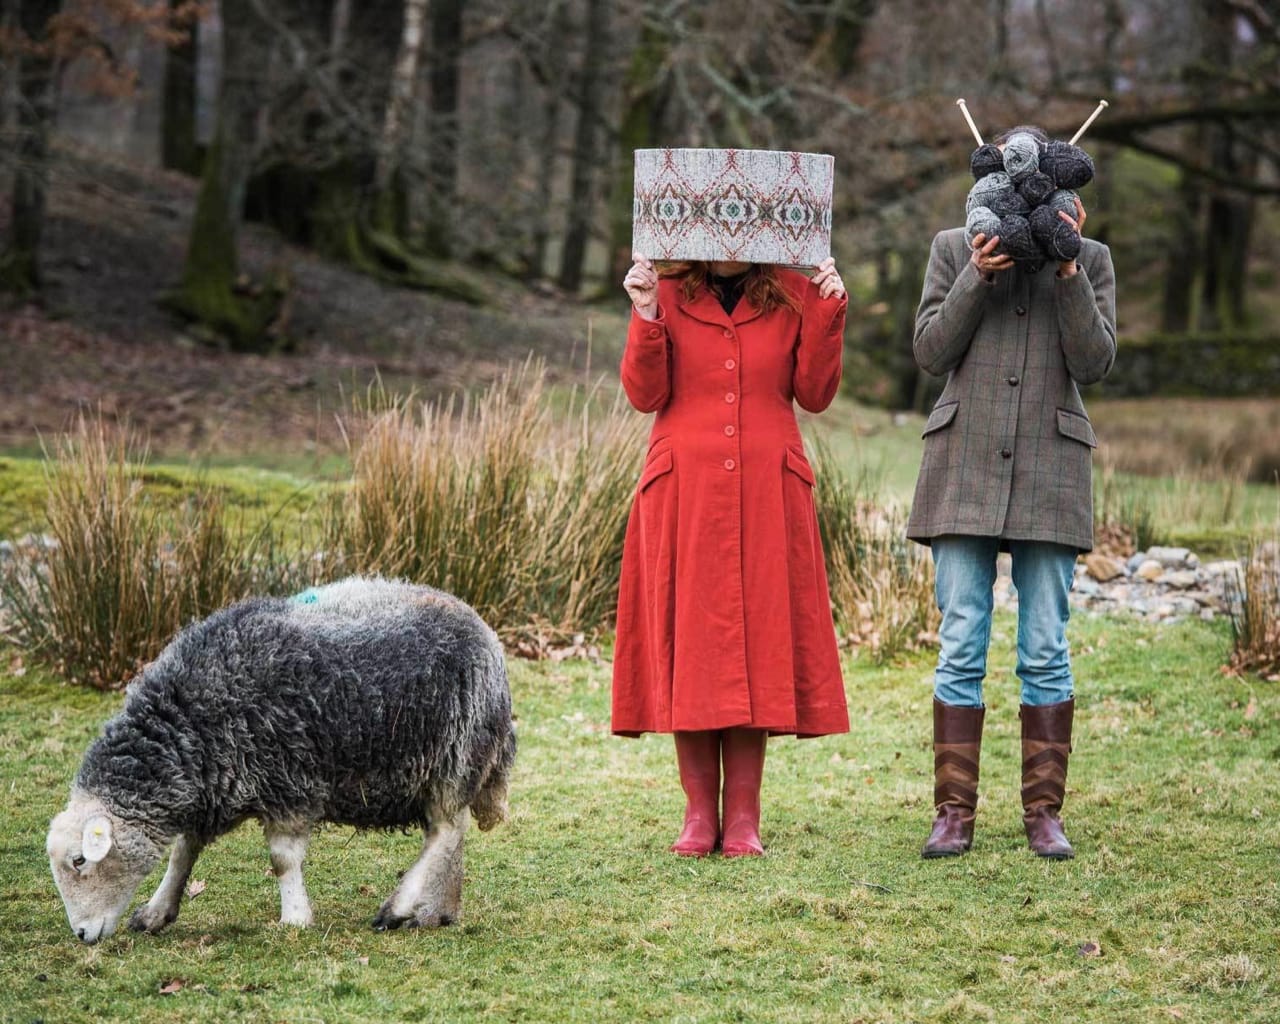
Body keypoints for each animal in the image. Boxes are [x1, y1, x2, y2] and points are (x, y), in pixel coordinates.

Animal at [46, 576, 514, 942]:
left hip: (453, 755)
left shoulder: (290, 782)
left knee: (445, 832)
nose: (82, 934)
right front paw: (156, 912)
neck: (187, 723)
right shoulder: (213, 789)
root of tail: (485, 631)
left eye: (80, 860)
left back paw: (398, 908)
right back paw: (438, 911)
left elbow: (282, 859)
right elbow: (182, 854)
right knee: (451, 832)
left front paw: (295, 919)